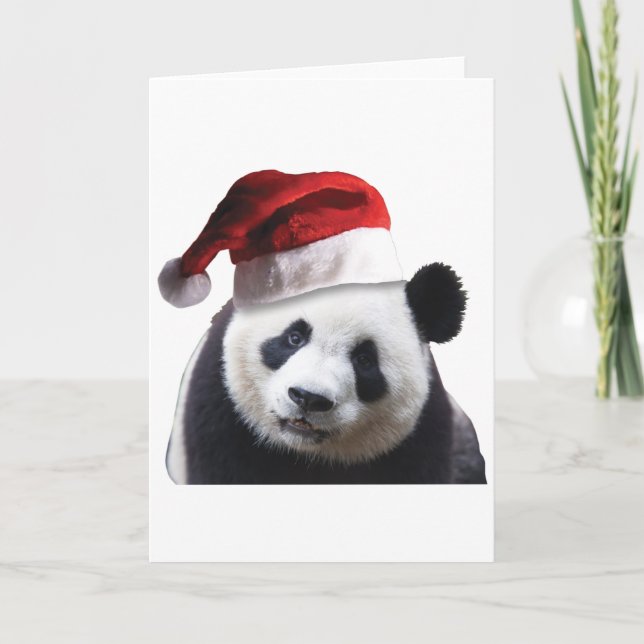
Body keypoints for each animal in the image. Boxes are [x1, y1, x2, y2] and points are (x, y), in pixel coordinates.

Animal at [166, 262, 486, 485]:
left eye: (364, 359)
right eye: (294, 337)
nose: (308, 398)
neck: (306, 454)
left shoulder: (418, 439)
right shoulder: (221, 412)